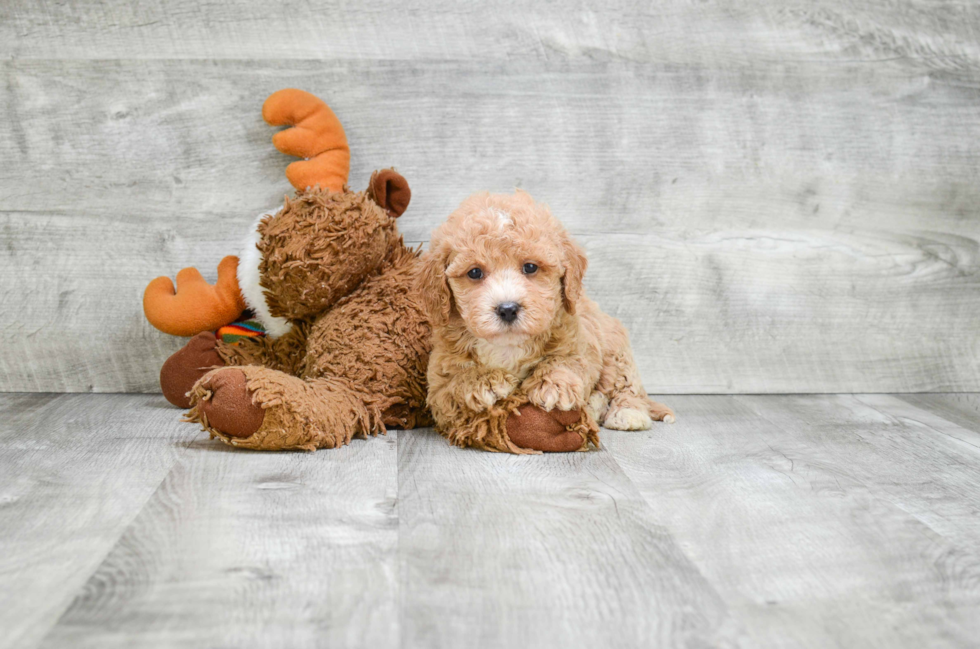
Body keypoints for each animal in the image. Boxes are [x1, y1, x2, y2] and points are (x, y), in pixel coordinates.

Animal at [418, 190, 676, 448]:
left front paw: (554, 385)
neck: (507, 346)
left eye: (530, 267)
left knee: (625, 385)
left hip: (616, 350)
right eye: (474, 272)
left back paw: (627, 413)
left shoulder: (579, 345)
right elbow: (454, 383)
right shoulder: (438, 385)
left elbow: (565, 361)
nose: (508, 309)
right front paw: (484, 381)